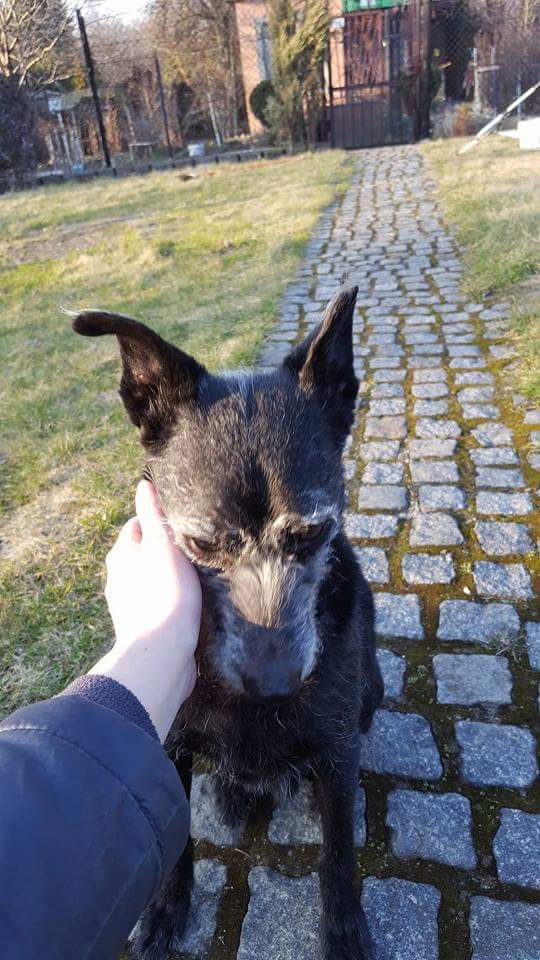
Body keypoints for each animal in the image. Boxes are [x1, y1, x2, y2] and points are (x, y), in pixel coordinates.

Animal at [72, 285, 383, 960]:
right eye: (201, 543)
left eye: (313, 532)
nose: (275, 685)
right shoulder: (165, 745)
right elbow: (176, 845)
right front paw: (167, 908)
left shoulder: (338, 746)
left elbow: (339, 853)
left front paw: (344, 927)